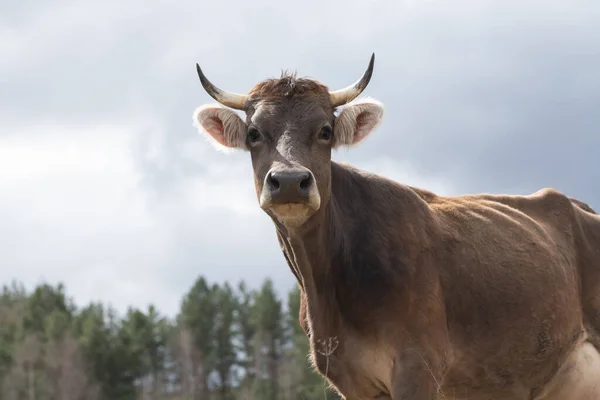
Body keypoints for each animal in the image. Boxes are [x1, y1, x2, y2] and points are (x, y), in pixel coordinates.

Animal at [192, 54, 600, 400]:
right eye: (254, 134)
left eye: (325, 131)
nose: (290, 181)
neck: (328, 284)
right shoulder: (351, 379)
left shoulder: (418, 364)